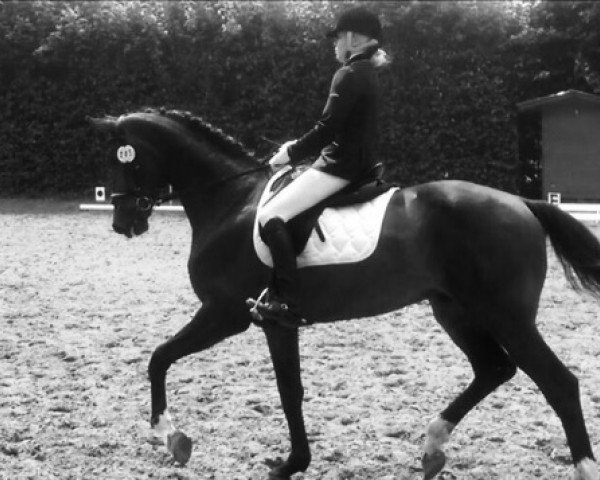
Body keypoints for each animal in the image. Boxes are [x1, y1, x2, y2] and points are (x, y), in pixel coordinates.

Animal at [89, 109, 600, 480]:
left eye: (122, 158)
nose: (122, 223)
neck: (230, 201)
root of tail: (522, 204)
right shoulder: (273, 323)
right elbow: (287, 390)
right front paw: (291, 461)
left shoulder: (225, 313)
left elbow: (161, 357)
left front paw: (172, 437)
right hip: (454, 311)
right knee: (493, 369)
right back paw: (433, 445)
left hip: (506, 317)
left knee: (558, 383)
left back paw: (581, 466)